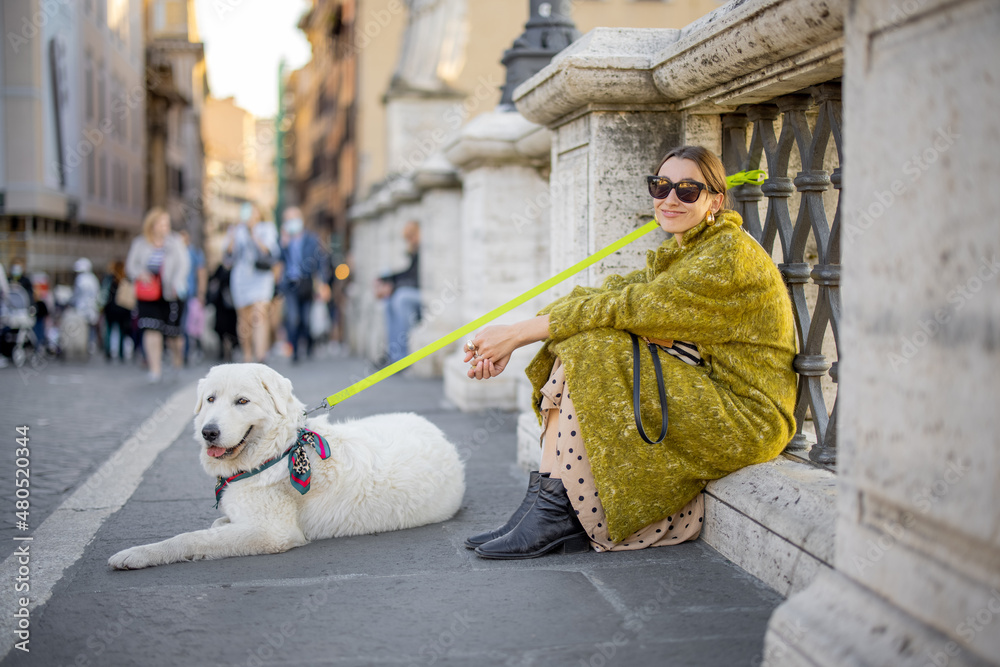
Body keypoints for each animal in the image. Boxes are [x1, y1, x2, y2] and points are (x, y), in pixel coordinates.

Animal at [107, 366, 466, 568]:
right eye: (210, 399)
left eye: (242, 401)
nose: (208, 432)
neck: (278, 452)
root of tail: (440, 433)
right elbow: (216, 525)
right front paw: (221, 519)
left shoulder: (272, 533)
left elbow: (192, 539)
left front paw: (137, 554)